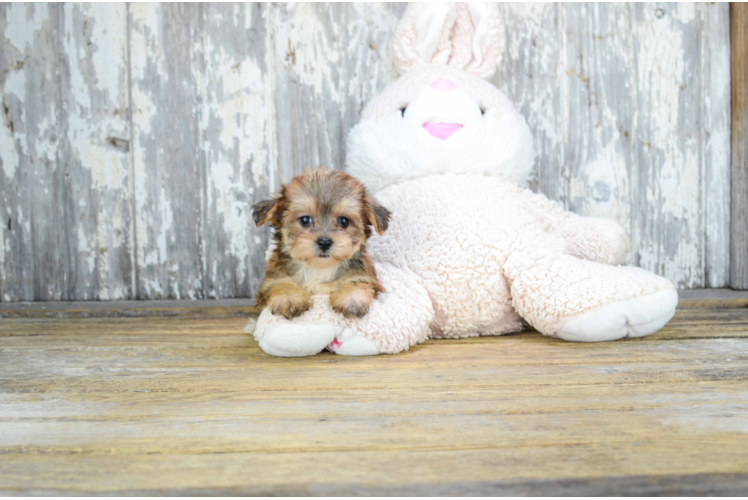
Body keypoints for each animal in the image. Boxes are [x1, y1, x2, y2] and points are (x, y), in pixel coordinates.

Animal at [253, 166, 392, 318]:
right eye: (305, 220)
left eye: (344, 221)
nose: (324, 242)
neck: (319, 269)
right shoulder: (272, 280)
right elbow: (281, 284)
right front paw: (289, 298)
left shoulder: (366, 277)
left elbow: (355, 282)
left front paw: (352, 298)